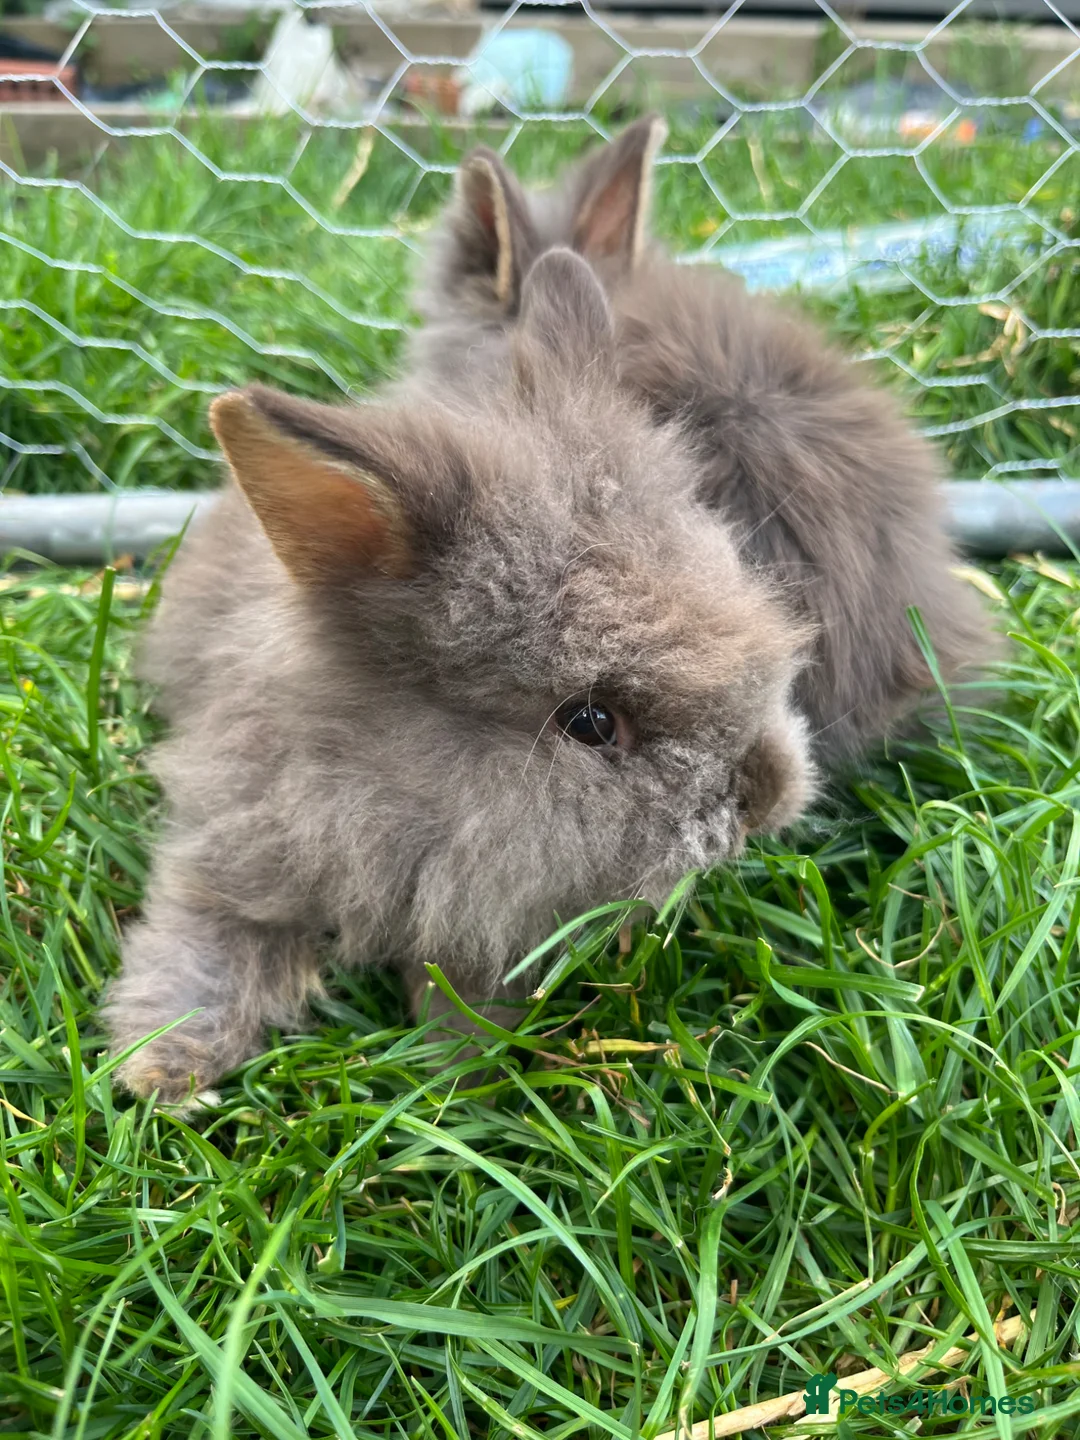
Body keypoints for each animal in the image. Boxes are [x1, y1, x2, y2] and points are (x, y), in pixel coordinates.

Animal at [106, 248, 816, 1102]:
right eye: (591, 722)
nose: (766, 797)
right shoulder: (234, 842)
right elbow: (201, 943)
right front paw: (160, 1070)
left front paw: (459, 1070)